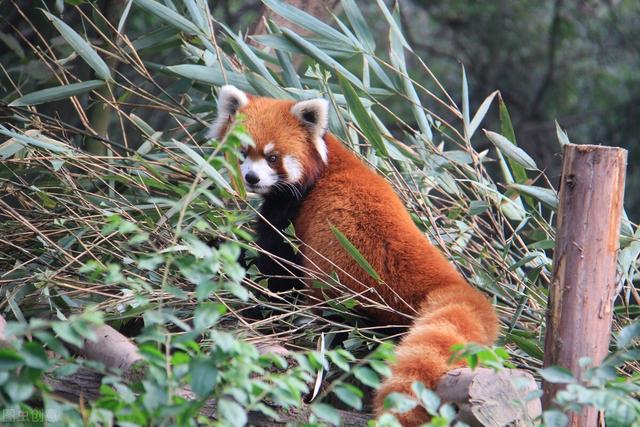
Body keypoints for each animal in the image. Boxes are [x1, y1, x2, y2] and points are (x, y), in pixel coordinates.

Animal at [210, 85, 500, 426]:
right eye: (243, 151)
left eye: (272, 157)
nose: (252, 178)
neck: (326, 160)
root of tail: (445, 280)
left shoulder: (292, 212)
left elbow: (276, 269)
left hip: (349, 280)